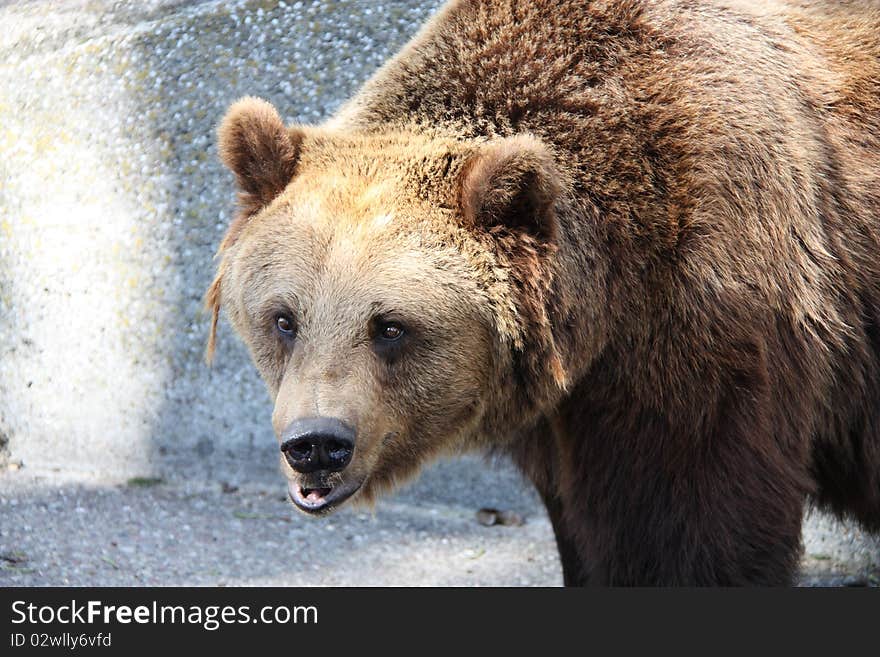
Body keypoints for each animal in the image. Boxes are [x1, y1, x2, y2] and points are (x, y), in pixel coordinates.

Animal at [205, 0, 880, 584]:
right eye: (284, 319)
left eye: (390, 326)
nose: (316, 445)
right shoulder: (566, 409)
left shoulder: (713, 321)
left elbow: (697, 517)